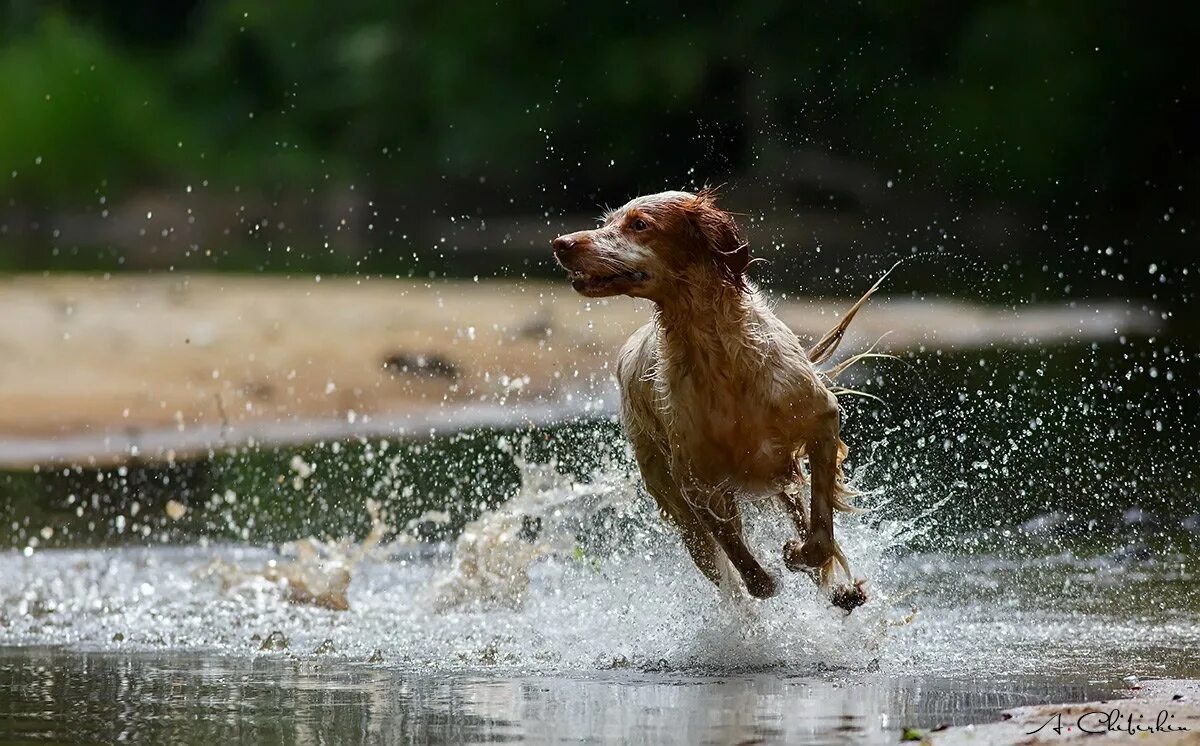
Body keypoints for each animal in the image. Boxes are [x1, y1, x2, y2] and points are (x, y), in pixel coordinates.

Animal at [552, 188, 873, 614]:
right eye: (606, 222)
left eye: (639, 224)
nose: (562, 244)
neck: (720, 358)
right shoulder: (697, 485)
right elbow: (745, 567)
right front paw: (769, 578)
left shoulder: (820, 421)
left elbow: (820, 532)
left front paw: (803, 559)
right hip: (675, 502)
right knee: (723, 570)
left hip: (778, 478)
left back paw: (838, 588)